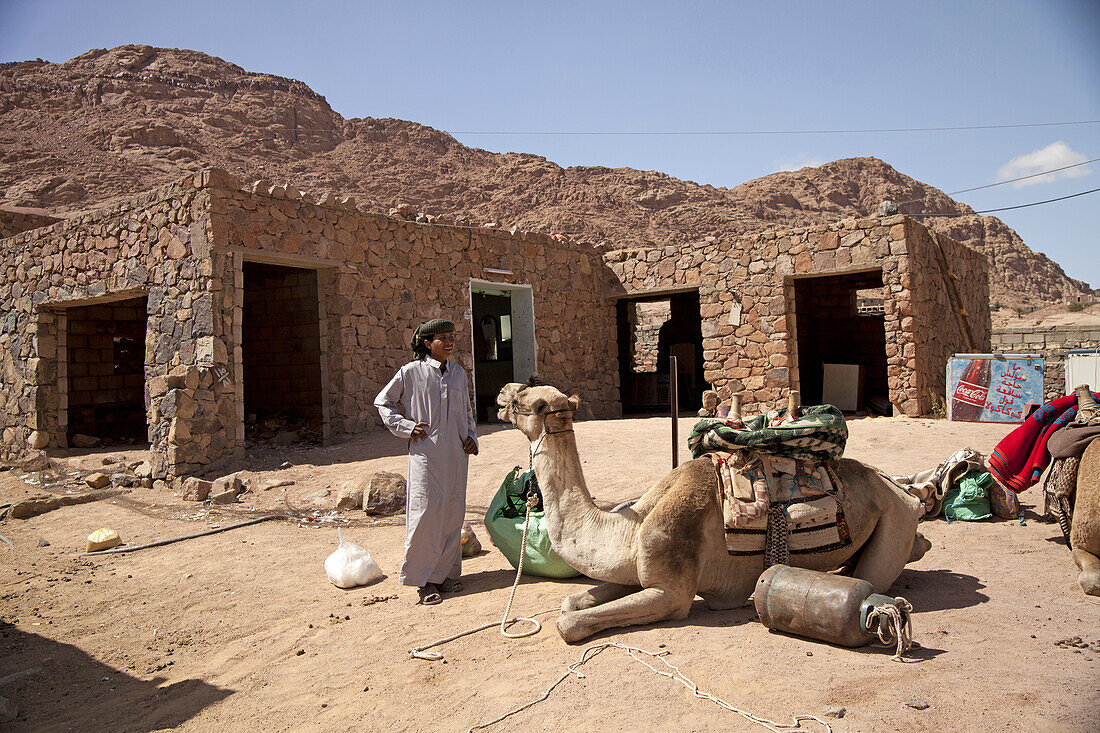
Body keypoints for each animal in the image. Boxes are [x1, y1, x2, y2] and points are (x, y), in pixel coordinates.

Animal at [497, 383, 928, 638]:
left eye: (529, 402)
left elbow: (569, 621)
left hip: (895, 519)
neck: (630, 530)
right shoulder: (638, 569)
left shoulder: (672, 592)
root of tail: (903, 489)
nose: (504, 392)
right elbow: (573, 602)